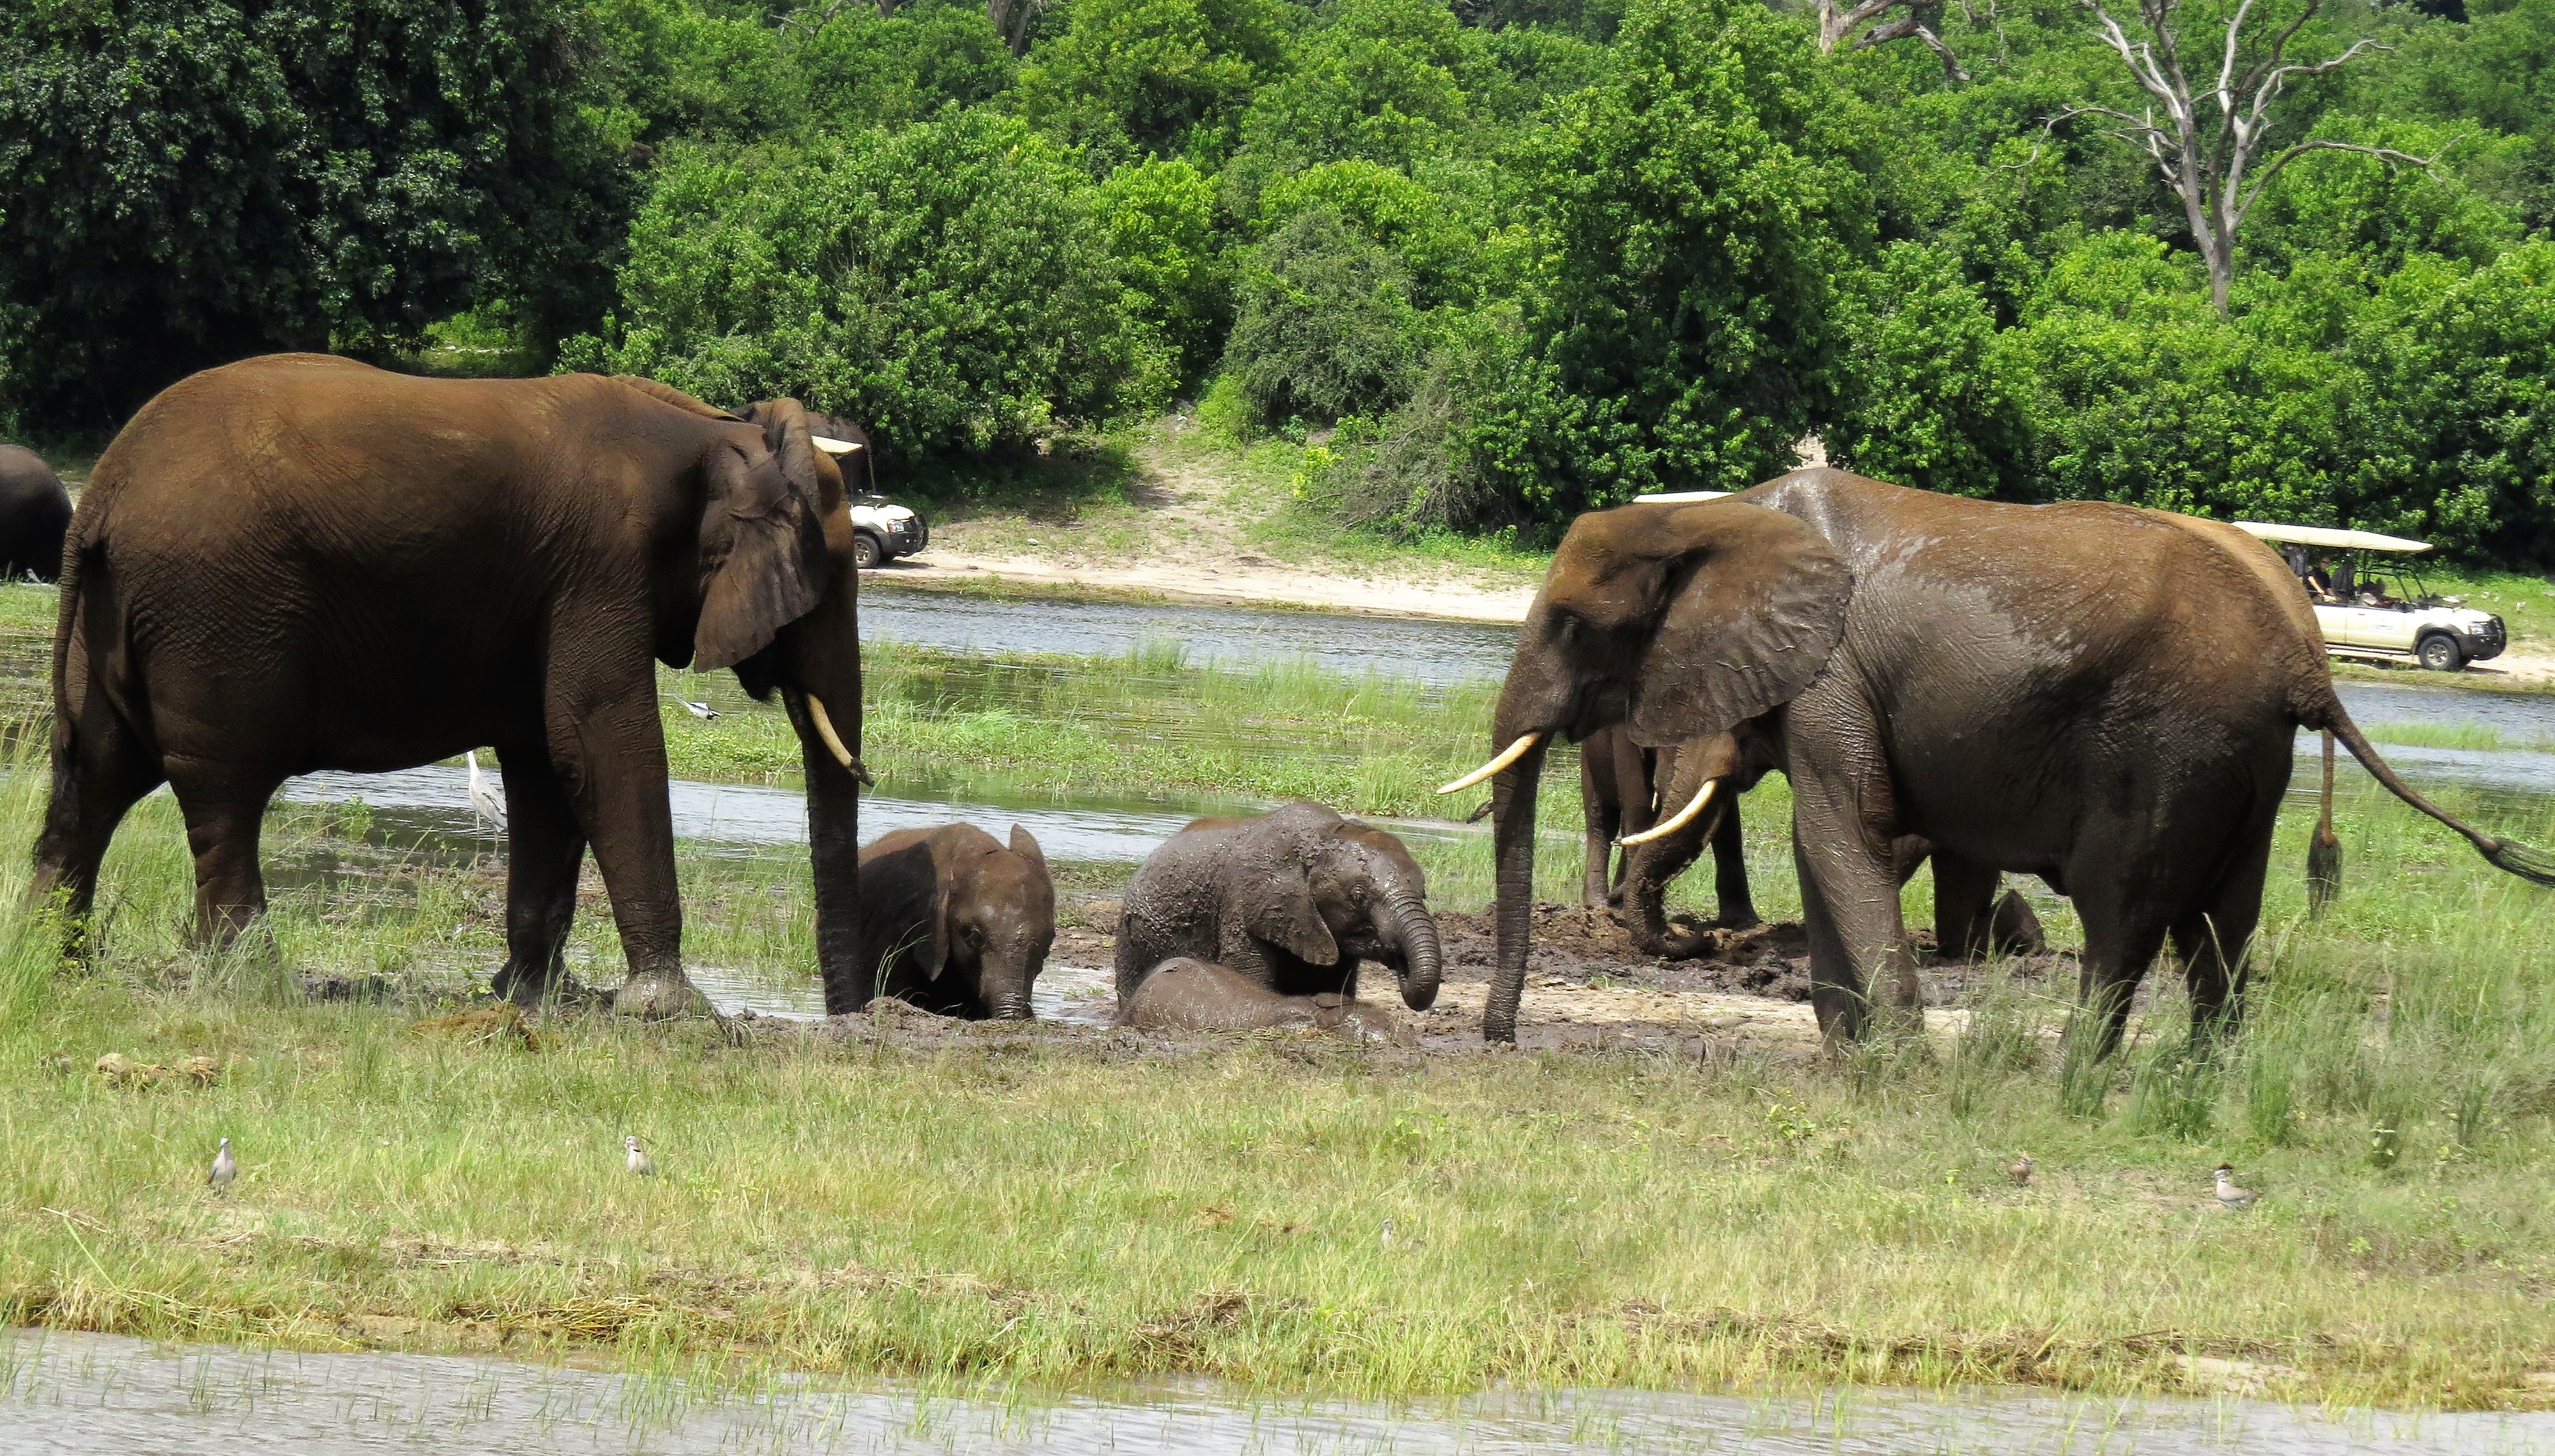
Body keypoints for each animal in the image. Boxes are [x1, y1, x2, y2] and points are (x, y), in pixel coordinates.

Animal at [29, 354, 874, 1018]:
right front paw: (675, 1013)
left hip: (127, 616)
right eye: (829, 576)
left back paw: (54, 961)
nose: (852, 1020)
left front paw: (535, 996)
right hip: (214, 613)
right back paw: (250, 982)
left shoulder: (557, 591)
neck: (715, 432)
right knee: (223, 791)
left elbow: (548, 762)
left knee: (95, 778)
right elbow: (600, 740)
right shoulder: (601, 568)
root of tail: (102, 490)